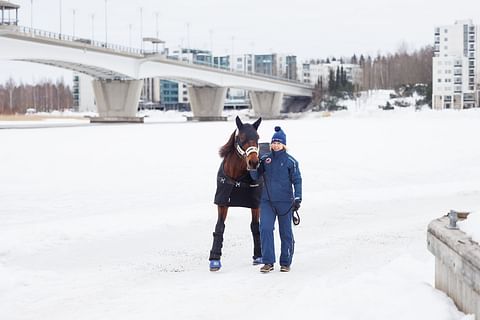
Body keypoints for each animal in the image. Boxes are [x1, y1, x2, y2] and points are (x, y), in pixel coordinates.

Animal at [209, 115, 262, 270]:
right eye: (241, 137)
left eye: (258, 137)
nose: (254, 162)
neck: (237, 177)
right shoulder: (222, 201)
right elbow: (220, 226)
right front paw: (215, 259)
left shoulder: (255, 203)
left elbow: (255, 226)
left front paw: (259, 256)